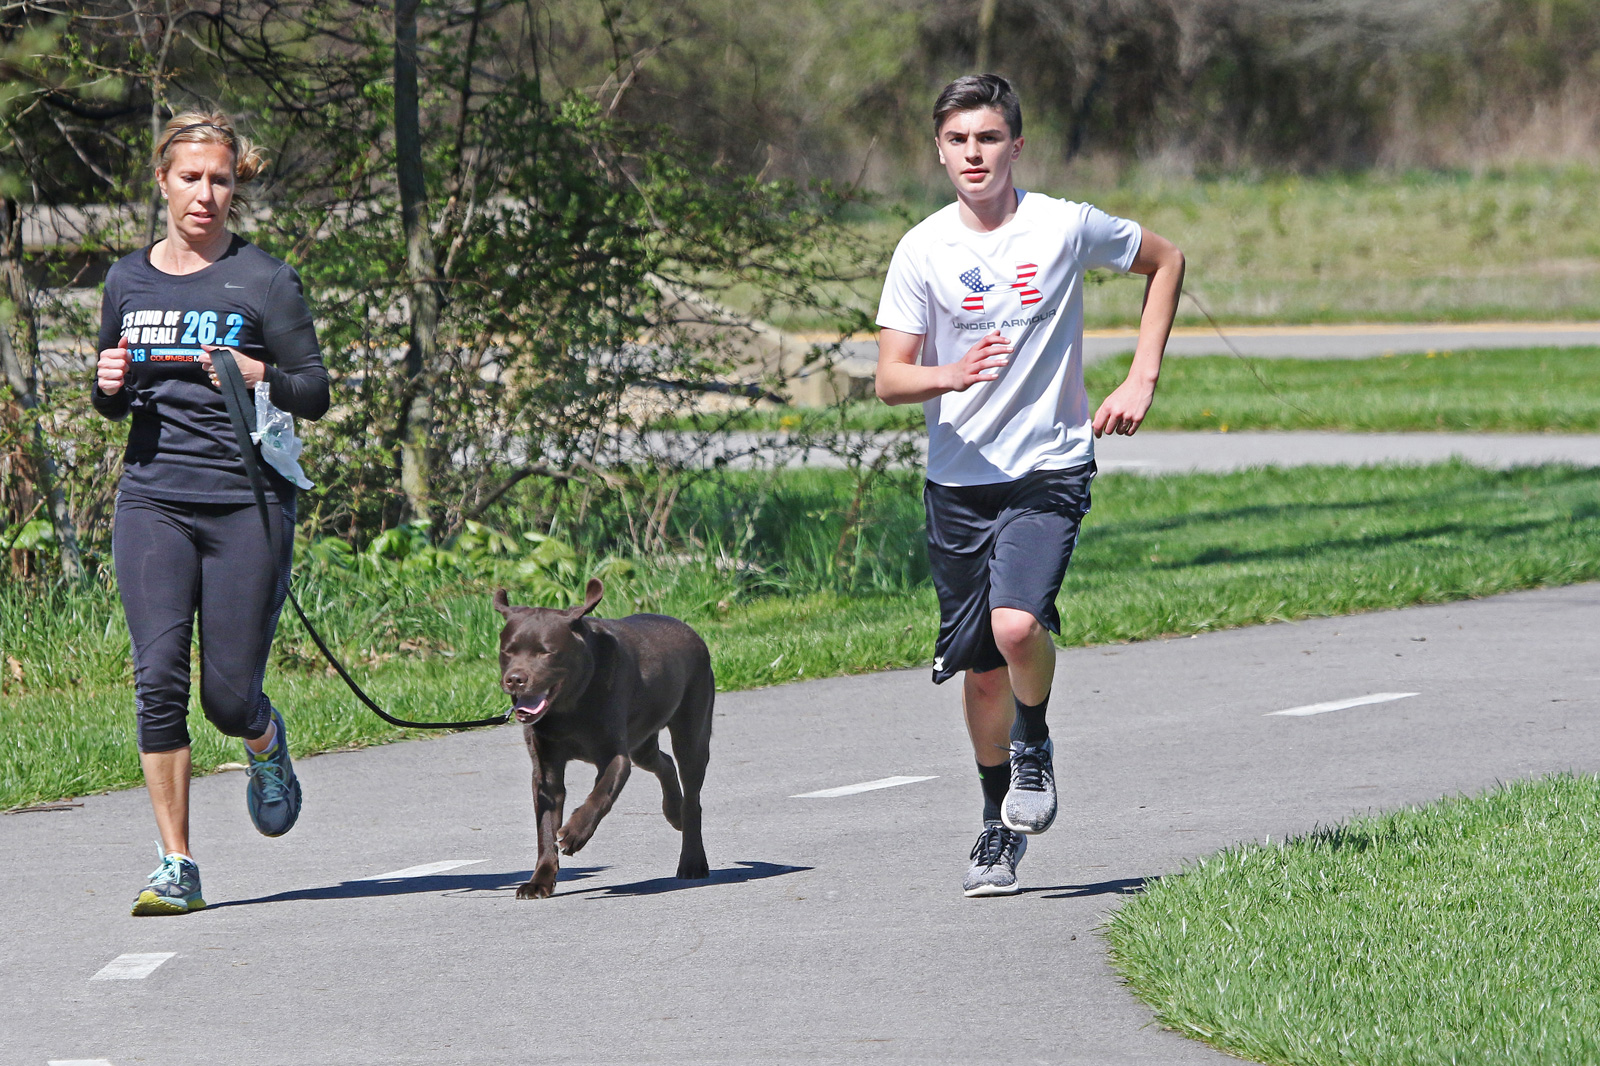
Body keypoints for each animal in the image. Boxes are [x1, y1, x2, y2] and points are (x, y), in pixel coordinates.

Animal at [489, 576, 710, 889]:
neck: (568, 706)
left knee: (692, 796)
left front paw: (574, 834)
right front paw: (540, 881)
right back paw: (673, 810)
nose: (515, 679)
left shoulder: (615, 756)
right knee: (664, 763)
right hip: (642, 743)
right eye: (507, 650)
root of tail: (689, 630)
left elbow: (602, 793)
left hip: (692, 731)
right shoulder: (546, 769)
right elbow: (545, 827)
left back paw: (691, 860)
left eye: (546, 652)